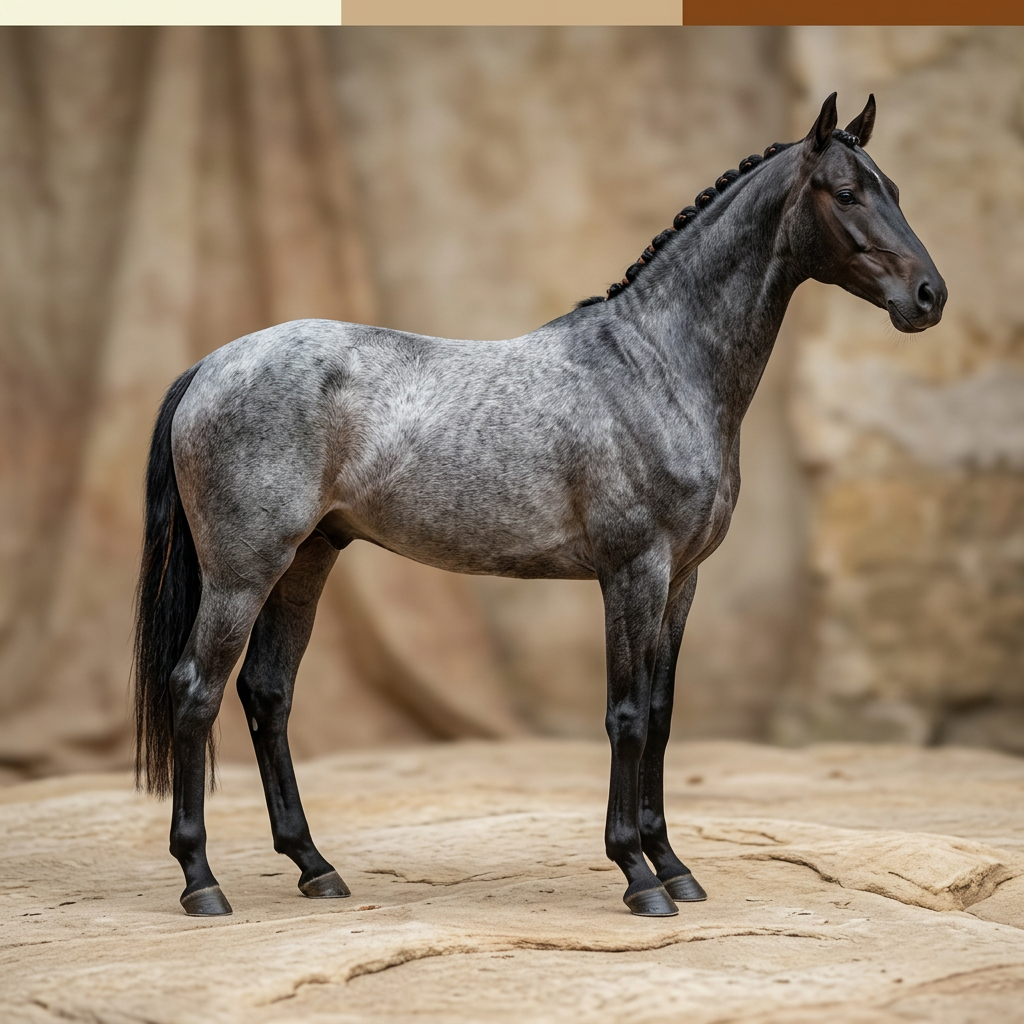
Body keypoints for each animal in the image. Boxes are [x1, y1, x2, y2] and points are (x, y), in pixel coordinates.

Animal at [134, 94, 946, 918]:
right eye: (846, 192)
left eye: (894, 189)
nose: (929, 297)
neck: (659, 366)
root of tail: (211, 365)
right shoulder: (633, 572)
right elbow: (625, 715)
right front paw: (637, 875)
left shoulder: (683, 581)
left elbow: (661, 716)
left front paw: (674, 866)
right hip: (242, 572)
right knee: (196, 690)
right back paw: (202, 881)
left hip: (306, 561)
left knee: (267, 693)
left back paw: (315, 866)